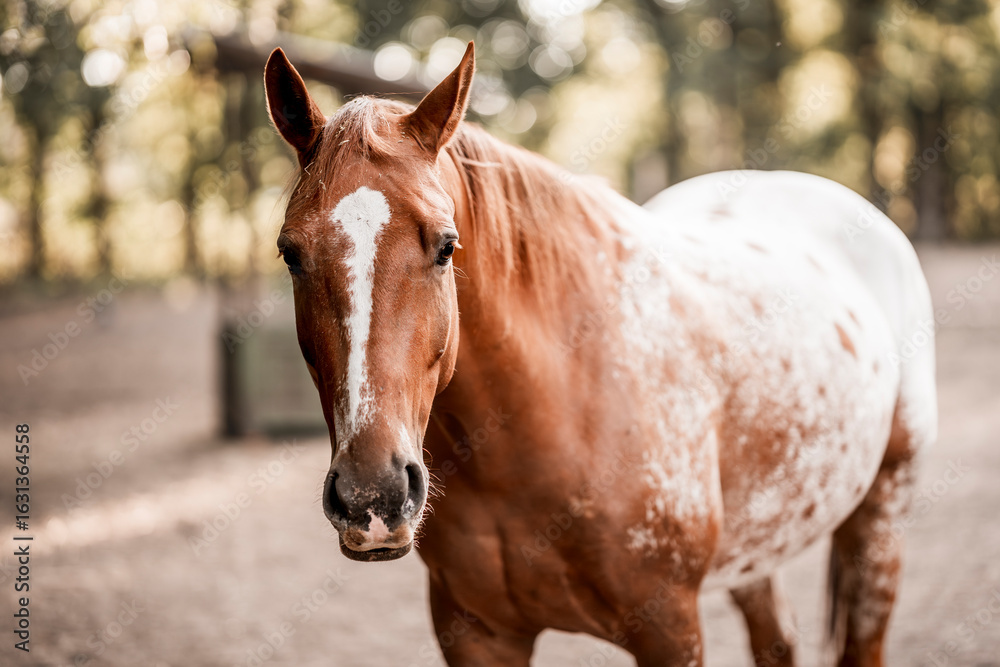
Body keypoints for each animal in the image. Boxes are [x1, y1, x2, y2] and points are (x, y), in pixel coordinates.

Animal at [263, 42, 937, 667]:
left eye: (446, 246)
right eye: (290, 254)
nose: (371, 496)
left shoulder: (671, 630)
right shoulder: (477, 633)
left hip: (882, 517)